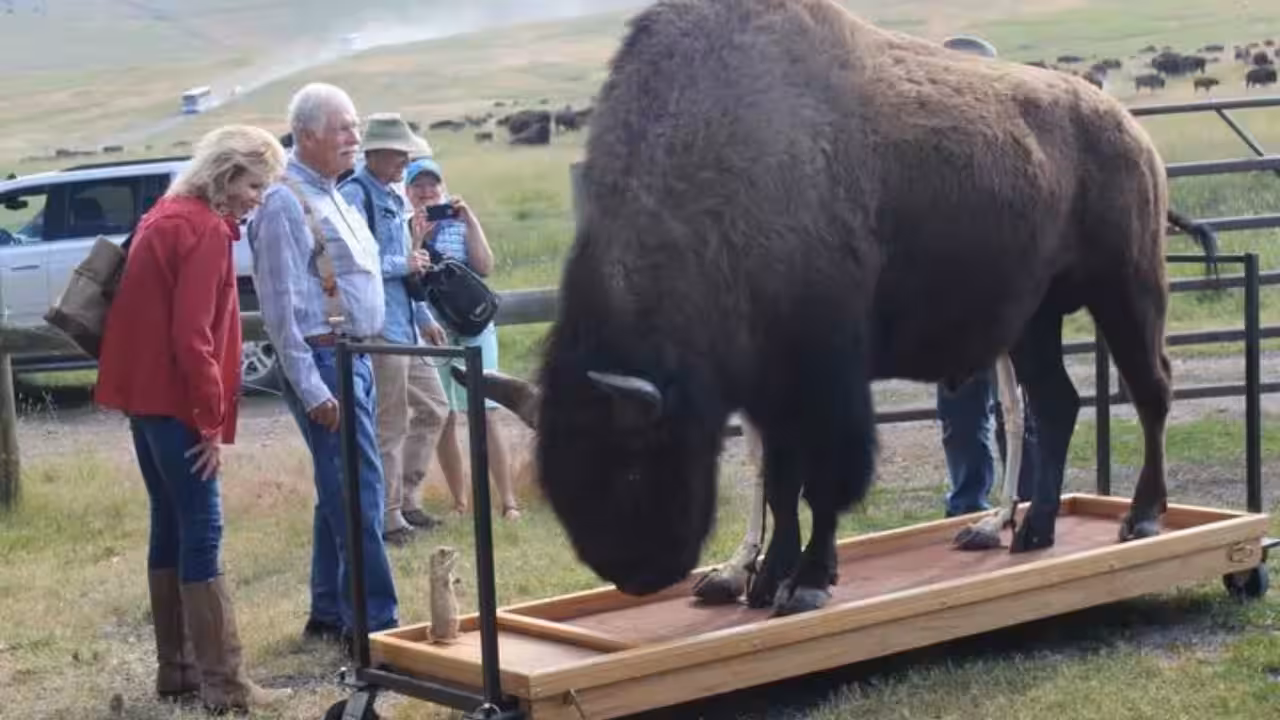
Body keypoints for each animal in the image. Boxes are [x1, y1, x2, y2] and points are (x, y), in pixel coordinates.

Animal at [522, 0, 1218, 616]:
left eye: (630, 466)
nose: (633, 573)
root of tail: (1131, 130)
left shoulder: (826, 381)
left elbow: (822, 482)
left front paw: (806, 584)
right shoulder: (772, 392)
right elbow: (782, 485)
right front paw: (765, 581)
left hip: (1125, 288)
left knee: (1151, 390)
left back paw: (1140, 518)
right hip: (1034, 321)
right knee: (1057, 403)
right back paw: (1034, 531)